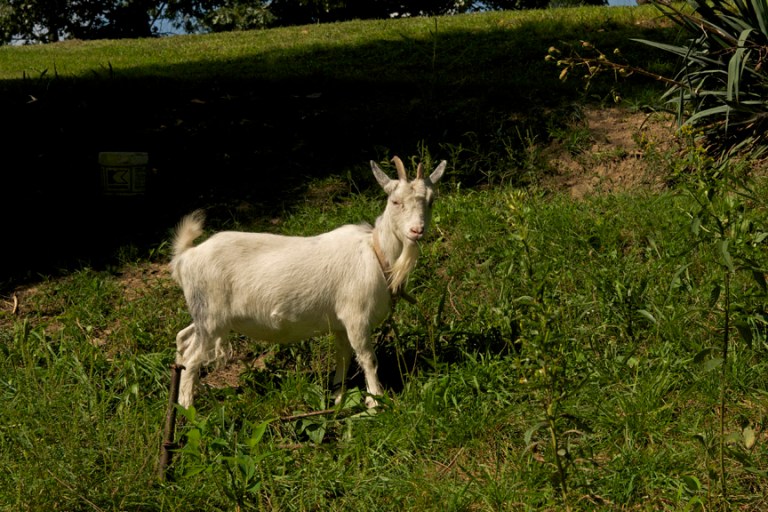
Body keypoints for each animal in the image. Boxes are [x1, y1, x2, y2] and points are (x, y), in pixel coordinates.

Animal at [170, 156, 447, 409]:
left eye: (431, 201)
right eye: (395, 201)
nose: (417, 230)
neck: (377, 253)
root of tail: (186, 257)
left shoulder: (339, 322)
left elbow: (343, 356)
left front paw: (337, 397)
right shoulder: (355, 316)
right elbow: (368, 358)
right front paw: (375, 402)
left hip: (207, 314)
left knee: (183, 339)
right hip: (212, 317)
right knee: (193, 358)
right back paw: (187, 407)